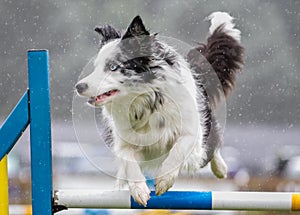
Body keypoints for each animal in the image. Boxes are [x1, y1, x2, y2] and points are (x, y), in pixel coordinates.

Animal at [75, 12, 244, 207]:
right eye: (96, 67)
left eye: (113, 67)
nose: (79, 86)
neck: (146, 100)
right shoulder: (125, 141)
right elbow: (129, 162)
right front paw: (139, 190)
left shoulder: (190, 131)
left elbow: (179, 150)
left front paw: (164, 180)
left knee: (210, 146)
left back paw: (221, 169)